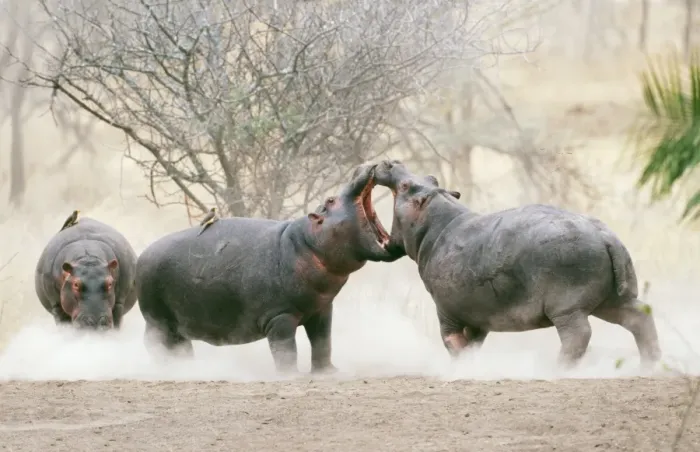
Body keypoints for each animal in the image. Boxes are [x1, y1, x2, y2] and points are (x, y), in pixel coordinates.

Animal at [135, 163, 393, 374]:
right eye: (330, 200)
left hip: (172, 322)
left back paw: (186, 366)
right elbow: (286, 350)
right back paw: (170, 369)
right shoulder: (279, 316)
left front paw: (330, 373)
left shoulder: (322, 309)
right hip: (157, 318)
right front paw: (291, 376)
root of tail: (143, 254)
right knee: (154, 343)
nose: (362, 166)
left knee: (180, 344)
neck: (307, 242)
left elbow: (322, 342)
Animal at [373, 160, 662, 368]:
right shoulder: (477, 317)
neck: (437, 223)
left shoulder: (446, 311)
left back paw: (555, 370)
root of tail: (605, 236)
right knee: (640, 317)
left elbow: (452, 344)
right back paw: (649, 366)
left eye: (405, 186)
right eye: (431, 178)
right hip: (610, 298)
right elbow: (472, 346)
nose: (392, 161)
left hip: (568, 307)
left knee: (578, 336)